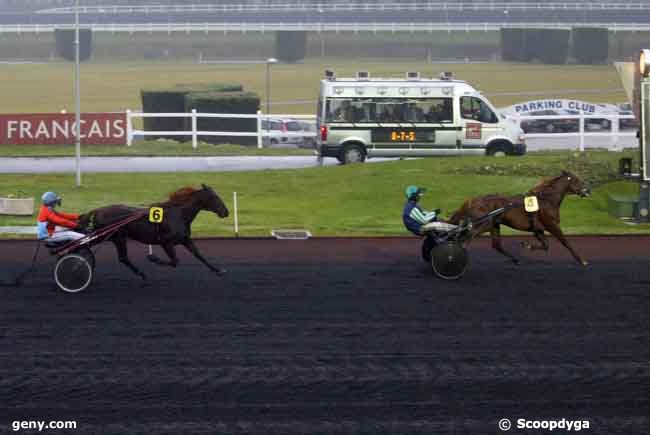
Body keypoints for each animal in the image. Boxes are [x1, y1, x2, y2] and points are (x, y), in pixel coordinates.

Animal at [448, 170, 588, 266]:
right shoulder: (552, 225)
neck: (547, 200)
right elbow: (565, 242)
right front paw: (581, 260)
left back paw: (515, 259)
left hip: (494, 224)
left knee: (496, 244)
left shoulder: (538, 229)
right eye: (576, 180)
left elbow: (546, 245)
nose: (588, 190)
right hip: (484, 224)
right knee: (465, 238)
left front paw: (527, 245)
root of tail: (471, 200)